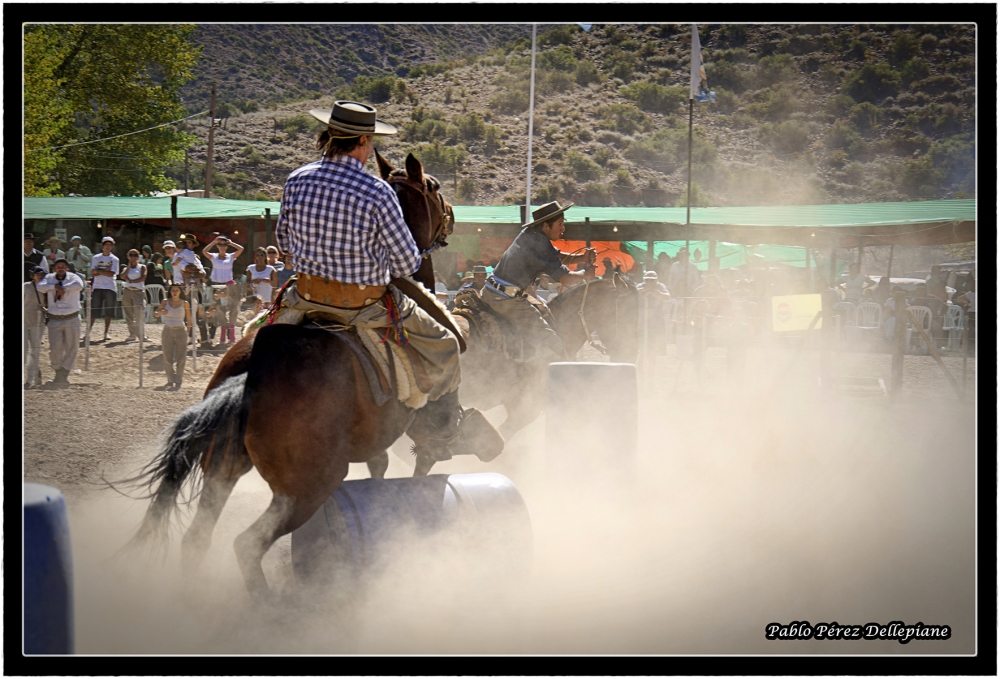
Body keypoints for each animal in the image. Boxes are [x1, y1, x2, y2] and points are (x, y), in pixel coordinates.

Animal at [125, 151, 458, 604]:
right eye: (435, 188)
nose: (451, 217)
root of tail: (248, 380)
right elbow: (423, 452)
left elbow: (380, 464)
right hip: (305, 488)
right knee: (246, 544)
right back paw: (269, 605)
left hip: (222, 470)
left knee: (197, 539)